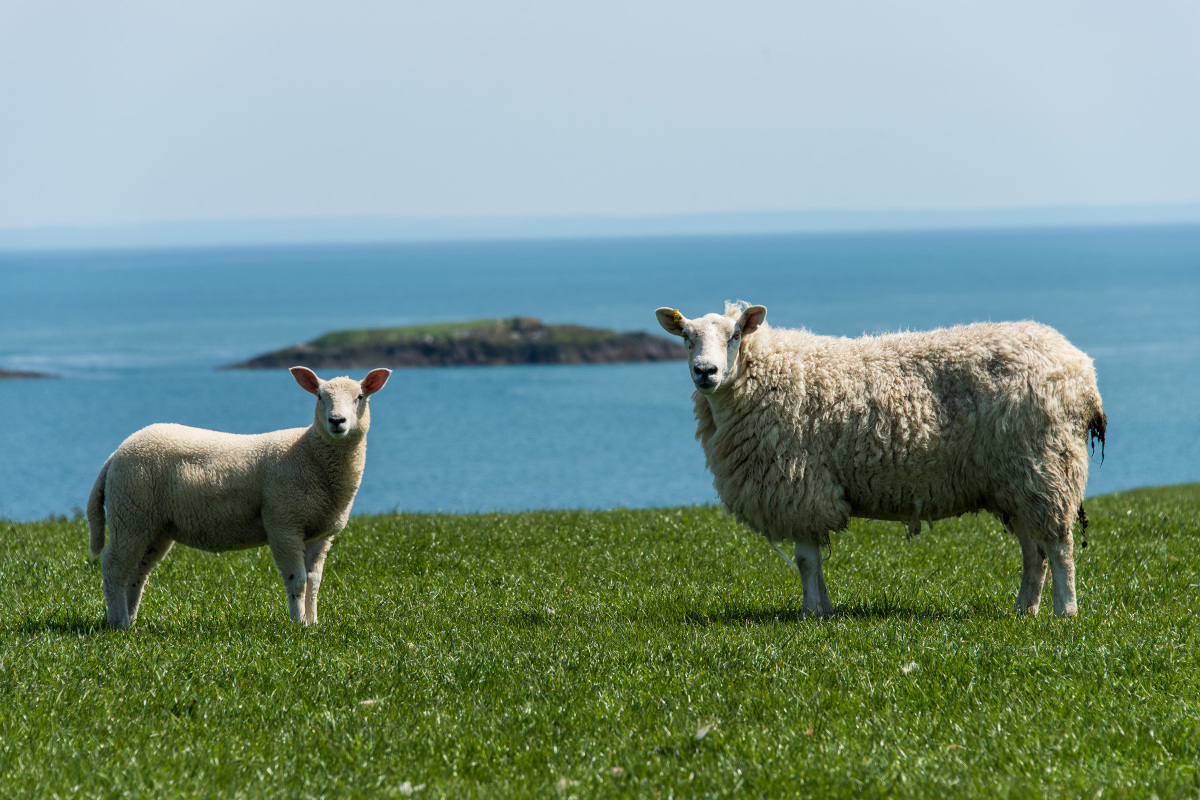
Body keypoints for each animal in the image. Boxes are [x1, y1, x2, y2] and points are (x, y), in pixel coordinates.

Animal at [85, 367, 393, 628]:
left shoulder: (320, 533)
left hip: (154, 525)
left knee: (137, 574)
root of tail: (116, 454)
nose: (336, 421)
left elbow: (314, 582)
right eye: (320, 396)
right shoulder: (283, 523)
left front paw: (313, 623)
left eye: (360, 397)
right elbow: (297, 581)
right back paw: (118, 623)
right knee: (113, 567)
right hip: (131, 512)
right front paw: (297, 625)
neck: (310, 454)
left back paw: (131, 619)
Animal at [657, 303, 1104, 618]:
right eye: (686, 338)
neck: (764, 375)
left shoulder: (801, 484)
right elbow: (811, 562)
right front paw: (824, 611)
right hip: (1014, 480)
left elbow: (805, 560)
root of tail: (1083, 371)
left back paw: (1065, 612)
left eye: (734, 336)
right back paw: (1024, 610)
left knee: (1059, 545)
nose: (706, 372)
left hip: (1047, 467)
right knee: (1034, 550)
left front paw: (810, 613)